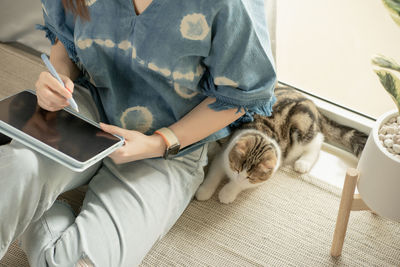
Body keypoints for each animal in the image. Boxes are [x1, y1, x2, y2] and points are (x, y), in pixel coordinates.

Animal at [195, 86, 368, 205]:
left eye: (251, 176)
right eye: (236, 168)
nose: (237, 176)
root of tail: (311, 102)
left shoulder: (261, 177)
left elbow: (241, 185)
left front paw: (227, 193)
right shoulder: (223, 155)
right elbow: (213, 174)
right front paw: (204, 191)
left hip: (301, 128)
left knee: (318, 140)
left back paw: (303, 163)